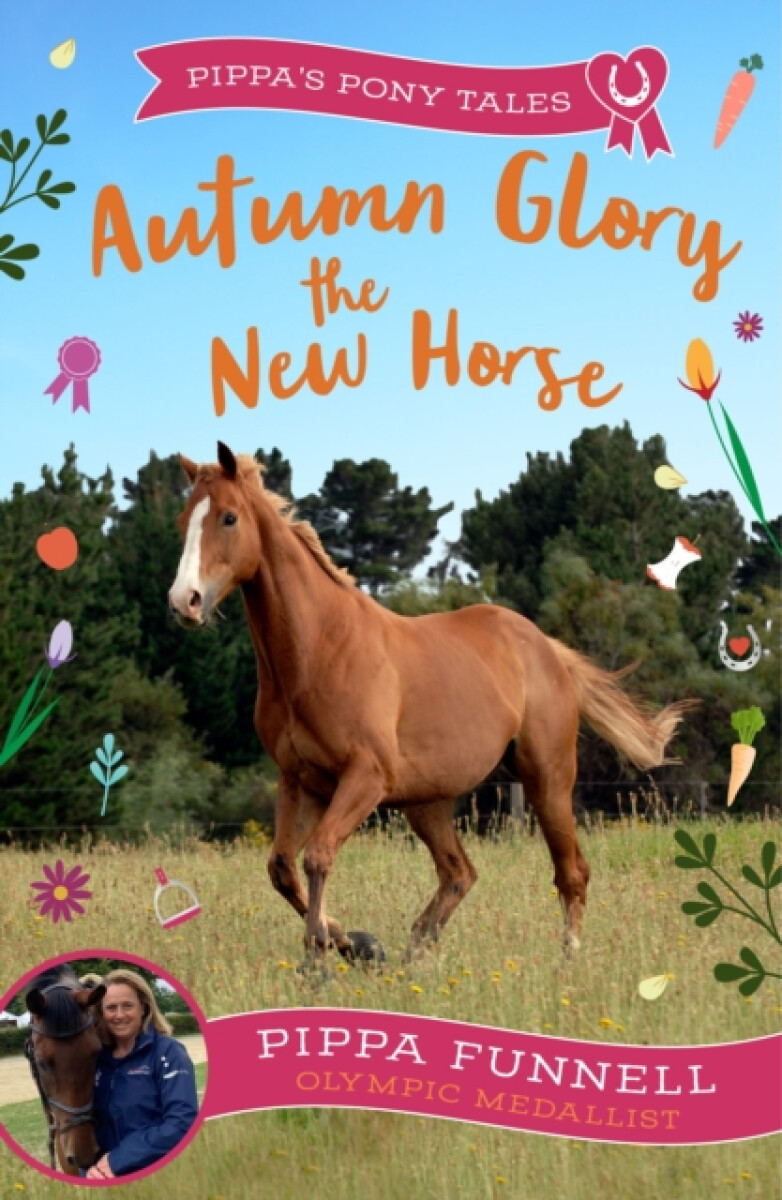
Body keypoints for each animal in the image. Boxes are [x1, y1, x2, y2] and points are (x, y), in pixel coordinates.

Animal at [168, 442, 690, 962]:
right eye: (182, 520)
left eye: (229, 518)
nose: (184, 602)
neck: (318, 650)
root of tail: (546, 648)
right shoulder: (301, 780)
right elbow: (282, 867)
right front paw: (349, 943)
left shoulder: (365, 777)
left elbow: (317, 856)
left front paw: (324, 953)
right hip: (427, 801)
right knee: (459, 873)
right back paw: (411, 955)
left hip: (547, 780)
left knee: (570, 872)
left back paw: (567, 957)